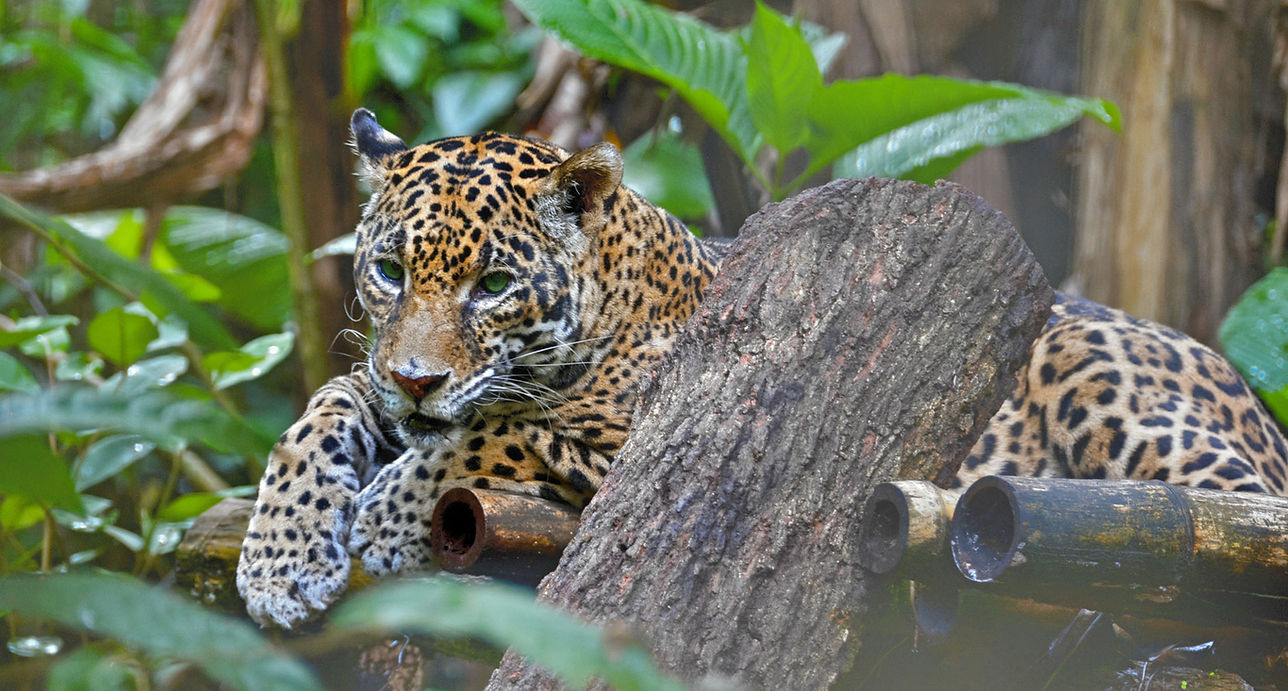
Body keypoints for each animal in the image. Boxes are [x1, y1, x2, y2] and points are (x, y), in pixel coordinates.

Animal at [236, 109, 727, 629]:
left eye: (493, 285)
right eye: (390, 271)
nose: (416, 382)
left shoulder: (635, 437)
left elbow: (500, 436)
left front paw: (385, 520)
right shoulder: (378, 383)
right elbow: (314, 421)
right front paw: (280, 561)